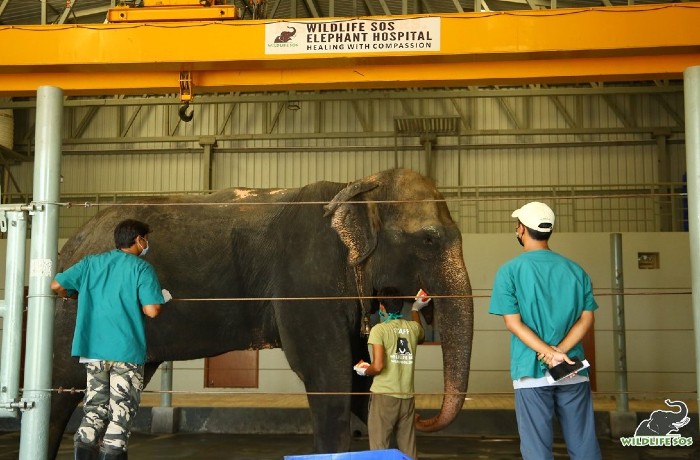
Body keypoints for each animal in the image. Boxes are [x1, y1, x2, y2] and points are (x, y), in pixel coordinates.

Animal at [47, 169, 476, 460]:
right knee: (65, 388)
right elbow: (327, 375)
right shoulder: (304, 276)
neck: (357, 185)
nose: (422, 416)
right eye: (429, 239)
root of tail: (73, 242)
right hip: (77, 310)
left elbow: (358, 376)